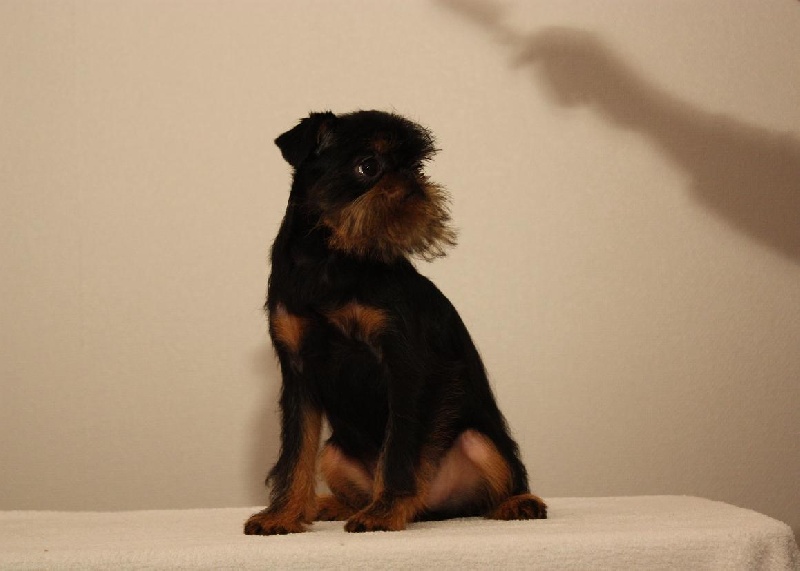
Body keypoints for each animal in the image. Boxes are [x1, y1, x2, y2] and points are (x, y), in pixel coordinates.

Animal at [244, 110, 546, 535]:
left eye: (416, 167)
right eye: (369, 166)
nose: (413, 183)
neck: (330, 258)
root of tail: (431, 508)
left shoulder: (404, 366)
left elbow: (399, 447)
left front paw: (384, 512)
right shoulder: (298, 376)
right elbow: (295, 453)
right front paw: (283, 514)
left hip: (479, 441)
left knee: (494, 487)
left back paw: (517, 503)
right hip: (334, 454)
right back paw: (329, 505)